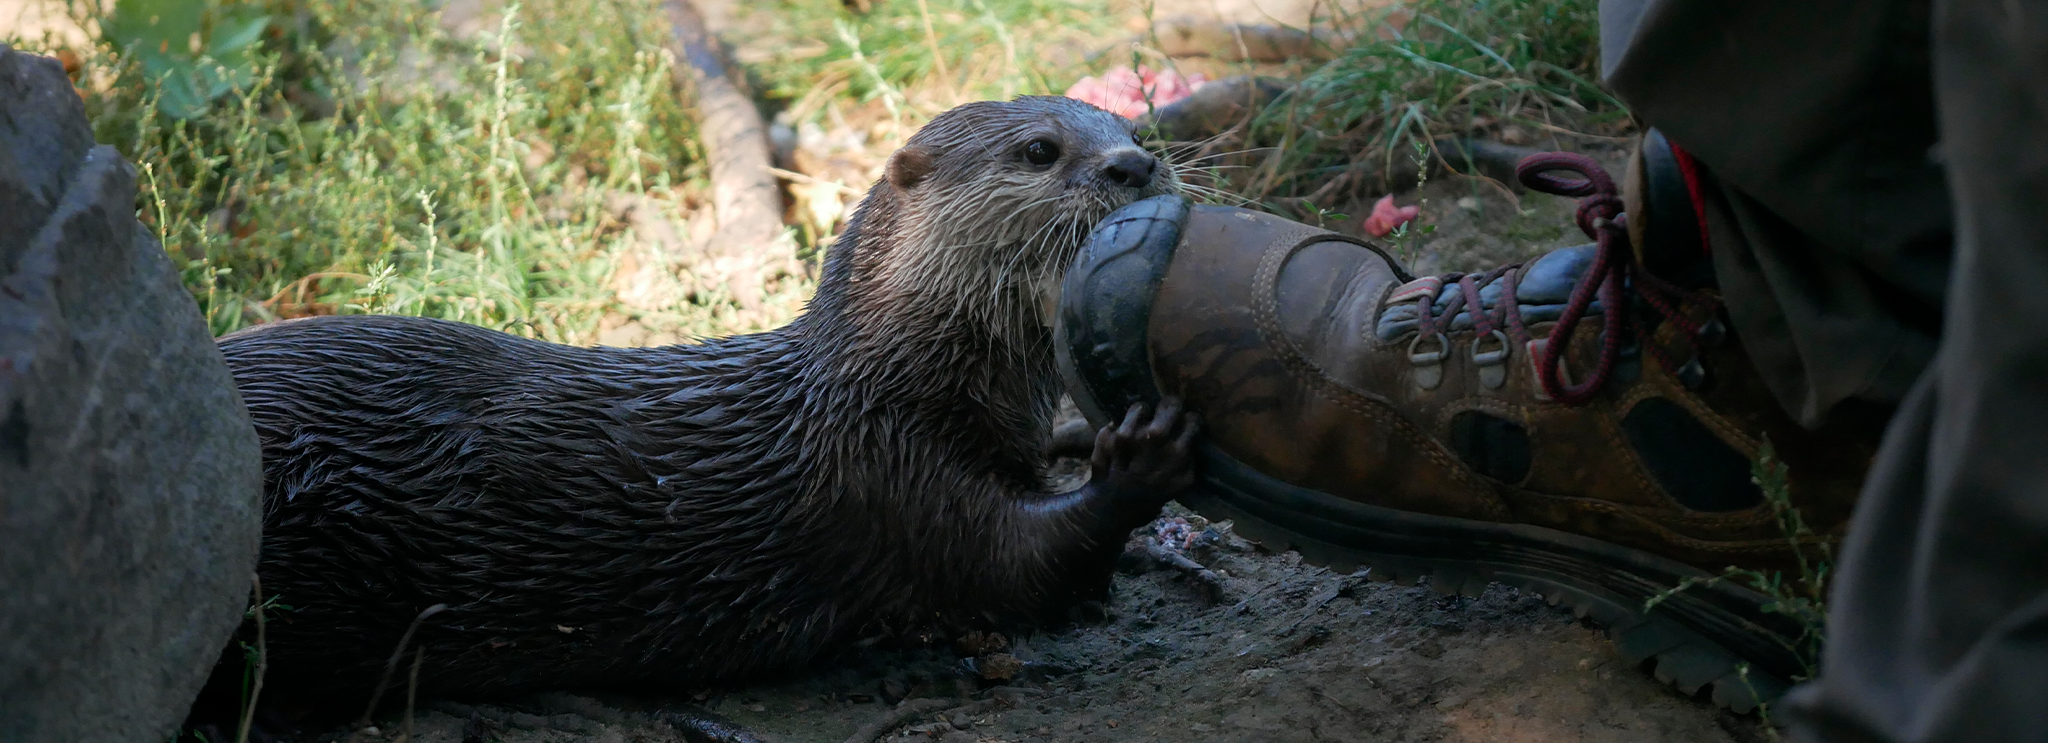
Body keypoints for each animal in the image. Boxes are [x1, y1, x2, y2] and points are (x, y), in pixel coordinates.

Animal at [197, 96, 1196, 713]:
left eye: (1126, 123)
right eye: (1041, 149)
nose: (1134, 163)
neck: (896, 378)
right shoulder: (890, 474)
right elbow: (1018, 566)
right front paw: (1141, 453)